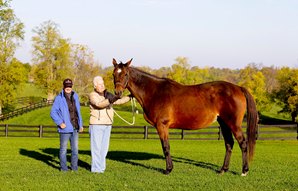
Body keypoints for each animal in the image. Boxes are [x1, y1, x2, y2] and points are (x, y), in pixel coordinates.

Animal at [113, 58, 258, 176]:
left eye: (125, 74)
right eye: (114, 74)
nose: (118, 93)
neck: (154, 92)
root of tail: (238, 88)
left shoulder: (162, 125)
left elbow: (166, 147)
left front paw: (168, 170)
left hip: (233, 124)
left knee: (242, 143)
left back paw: (244, 171)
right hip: (224, 123)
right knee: (229, 144)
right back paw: (223, 170)